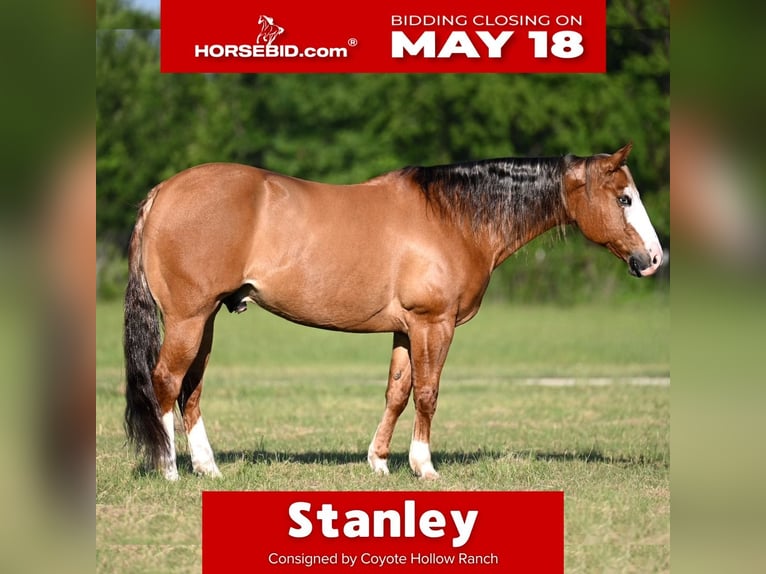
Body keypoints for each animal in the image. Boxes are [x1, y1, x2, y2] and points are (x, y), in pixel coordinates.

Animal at [124, 143, 663, 480]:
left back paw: (208, 468)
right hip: (190, 318)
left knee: (191, 388)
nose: (655, 259)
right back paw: (169, 469)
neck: (454, 218)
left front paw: (379, 461)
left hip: (207, 318)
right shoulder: (433, 324)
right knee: (167, 381)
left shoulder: (406, 329)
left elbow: (397, 392)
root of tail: (162, 192)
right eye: (625, 198)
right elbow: (427, 393)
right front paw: (425, 466)